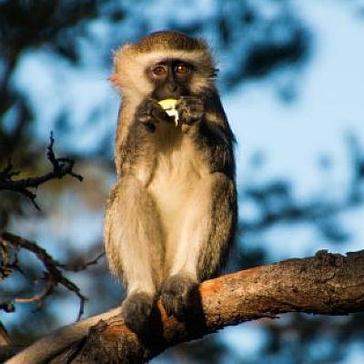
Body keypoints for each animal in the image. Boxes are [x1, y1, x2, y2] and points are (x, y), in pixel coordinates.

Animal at [7, 32, 239, 364]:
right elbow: (131, 171)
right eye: (159, 70)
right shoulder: (127, 109)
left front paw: (192, 117)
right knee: (127, 188)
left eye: (181, 69)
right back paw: (140, 294)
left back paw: (182, 279)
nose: (172, 88)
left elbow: (223, 164)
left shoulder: (211, 100)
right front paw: (146, 119)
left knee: (218, 183)